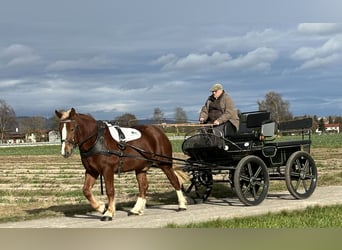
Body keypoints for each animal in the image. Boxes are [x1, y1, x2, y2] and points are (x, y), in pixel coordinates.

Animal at [55, 107, 187, 221]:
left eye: (72, 128)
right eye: (60, 129)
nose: (65, 151)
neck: (97, 140)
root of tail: (159, 132)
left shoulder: (107, 170)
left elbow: (110, 190)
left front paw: (109, 212)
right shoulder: (92, 171)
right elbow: (86, 191)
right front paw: (101, 207)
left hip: (165, 164)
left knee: (174, 181)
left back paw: (182, 205)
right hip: (141, 168)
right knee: (143, 187)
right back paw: (136, 209)